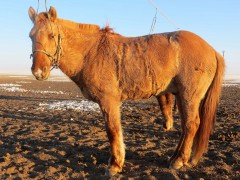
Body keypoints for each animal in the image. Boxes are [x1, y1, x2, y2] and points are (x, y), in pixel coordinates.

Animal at [28, 6, 225, 176]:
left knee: (191, 125)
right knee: (186, 127)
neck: (92, 52)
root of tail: (212, 50)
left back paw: (178, 161)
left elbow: (113, 131)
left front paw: (115, 165)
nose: (38, 72)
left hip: (189, 96)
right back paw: (175, 158)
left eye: (52, 35)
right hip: (183, 97)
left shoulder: (109, 102)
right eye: (31, 36)